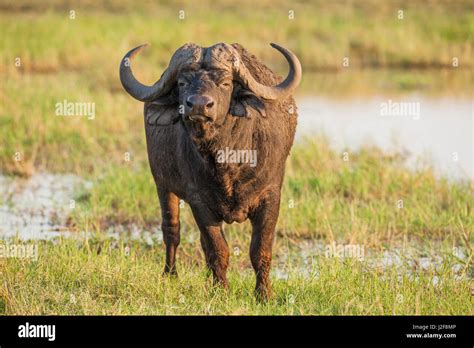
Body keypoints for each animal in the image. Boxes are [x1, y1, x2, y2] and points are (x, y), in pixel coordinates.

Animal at [120, 42, 302, 300]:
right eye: (182, 83)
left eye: (225, 84)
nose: (198, 105)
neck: (229, 160)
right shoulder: (199, 202)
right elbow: (218, 250)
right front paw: (221, 291)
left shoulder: (271, 196)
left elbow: (260, 250)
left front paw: (264, 295)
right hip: (162, 186)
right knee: (171, 231)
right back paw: (170, 275)